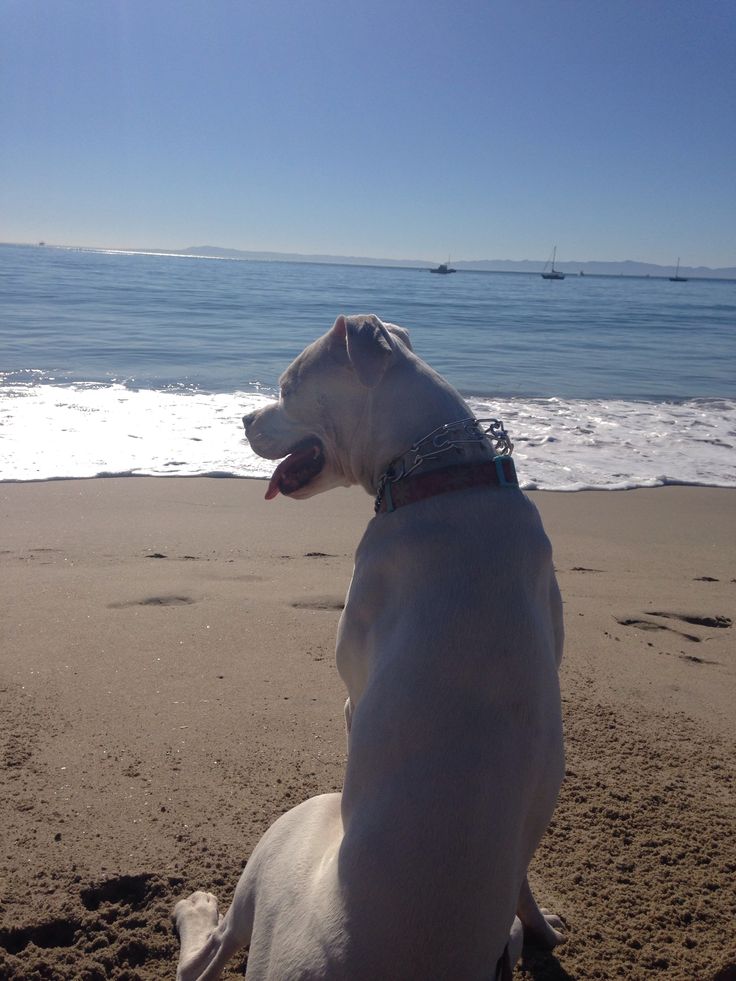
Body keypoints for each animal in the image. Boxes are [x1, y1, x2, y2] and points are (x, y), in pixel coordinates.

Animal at [175, 316, 568, 980]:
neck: (442, 477)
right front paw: (544, 922)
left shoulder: (353, 690)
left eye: (287, 387)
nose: (244, 419)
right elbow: (523, 881)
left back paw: (197, 910)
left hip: (293, 826)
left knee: (210, 951)